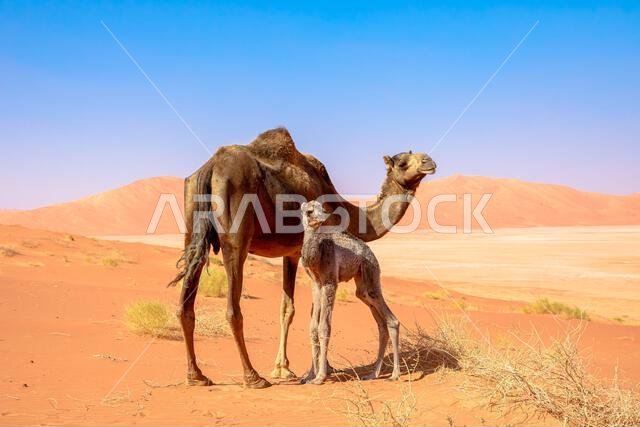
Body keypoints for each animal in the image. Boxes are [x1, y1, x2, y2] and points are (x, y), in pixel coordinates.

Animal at [300, 200, 400, 385]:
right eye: (309, 211)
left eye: (323, 208)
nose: (324, 217)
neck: (316, 257)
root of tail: (370, 252)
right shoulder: (315, 283)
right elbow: (313, 328)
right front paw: (309, 376)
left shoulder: (330, 282)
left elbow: (324, 327)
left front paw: (320, 377)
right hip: (362, 286)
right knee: (381, 323)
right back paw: (373, 374)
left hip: (371, 272)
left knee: (391, 320)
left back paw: (395, 374)